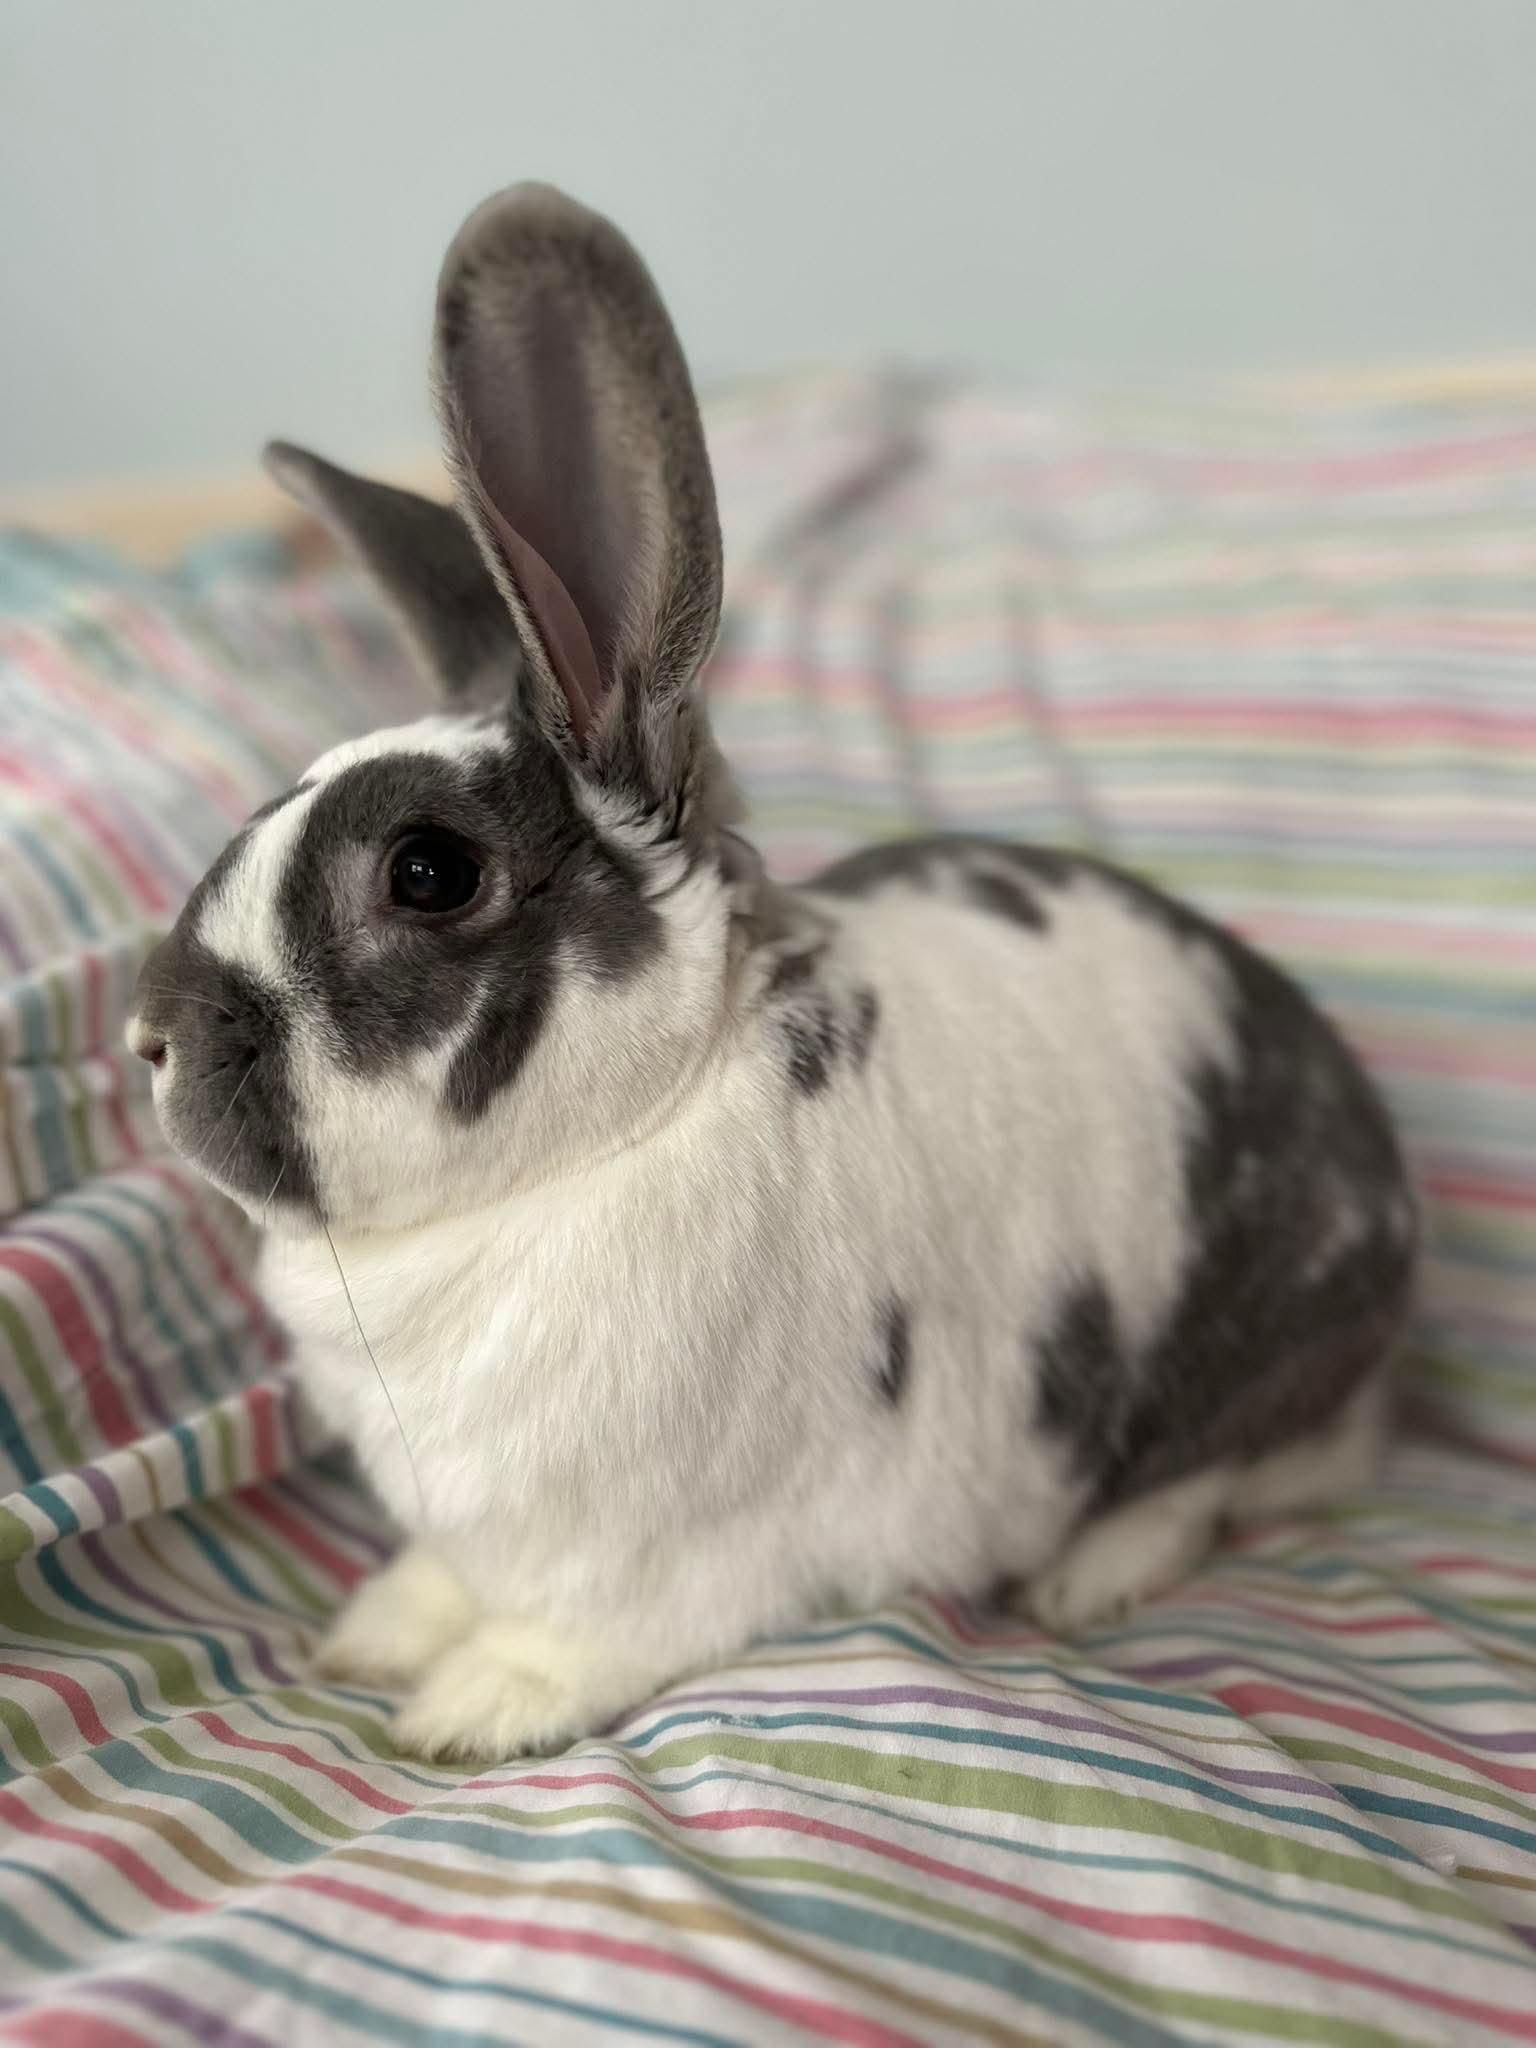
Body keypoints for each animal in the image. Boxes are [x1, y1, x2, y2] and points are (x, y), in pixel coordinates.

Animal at [127, 183, 1418, 1764]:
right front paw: (378, 1631)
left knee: (1209, 1479)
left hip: (1250, 1360)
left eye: (427, 874)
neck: (620, 1131)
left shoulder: (656, 1559)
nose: (150, 1036)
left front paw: (469, 1710)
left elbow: (580, 1636)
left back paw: (1089, 1576)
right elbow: (442, 1574)